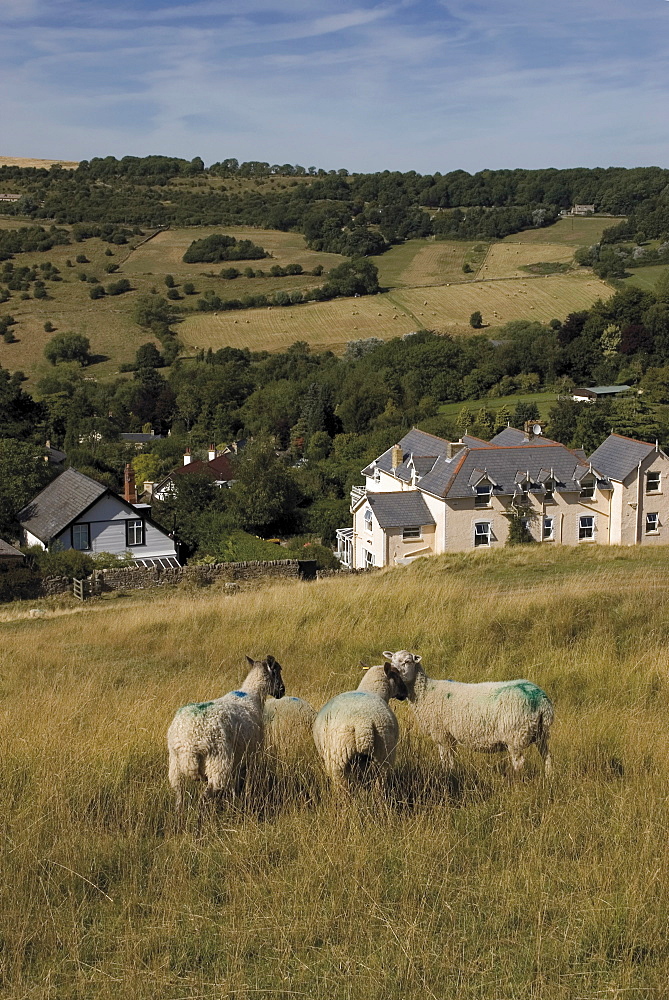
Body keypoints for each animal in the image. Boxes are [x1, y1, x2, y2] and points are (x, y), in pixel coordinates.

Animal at [167, 652, 284, 808]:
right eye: (278, 670)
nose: (282, 691)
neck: (251, 695)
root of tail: (189, 743)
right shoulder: (249, 755)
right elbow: (241, 782)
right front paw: (239, 799)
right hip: (218, 760)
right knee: (207, 794)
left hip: (175, 766)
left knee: (179, 794)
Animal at [384, 652, 552, 776]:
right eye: (392, 659)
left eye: (407, 661)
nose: (391, 670)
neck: (425, 692)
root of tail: (541, 699)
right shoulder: (449, 737)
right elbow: (450, 760)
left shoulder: (442, 735)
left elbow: (446, 761)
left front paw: (448, 775)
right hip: (541, 733)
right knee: (547, 757)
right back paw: (549, 778)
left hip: (515, 735)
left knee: (519, 763)